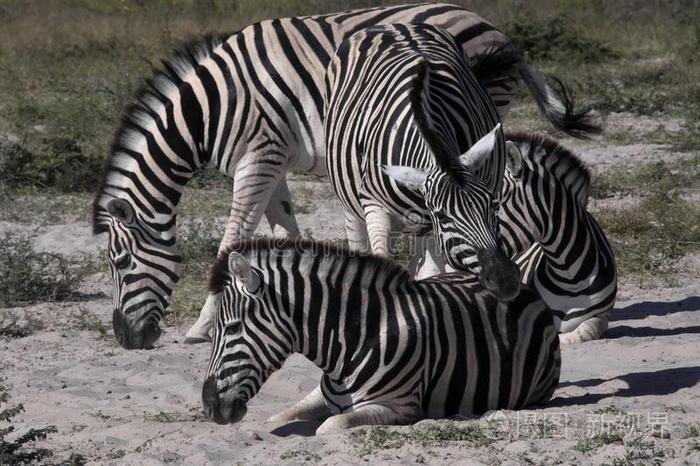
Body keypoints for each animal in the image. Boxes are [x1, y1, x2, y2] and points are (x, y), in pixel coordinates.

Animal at [200, 238, 560, 436]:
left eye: (232, 329)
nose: (208, 405)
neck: (354, 339)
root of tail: (524, 287)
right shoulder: (322, 395)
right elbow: (277, 416)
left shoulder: (398, 407)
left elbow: (329, 427)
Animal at [322, 21, 520, 298]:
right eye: (443, 216)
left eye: (492, 204)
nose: (505, 281)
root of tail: (396, 25)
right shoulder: (375, 206)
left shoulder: (432, 228)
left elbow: (435, 273)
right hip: (351, 202)